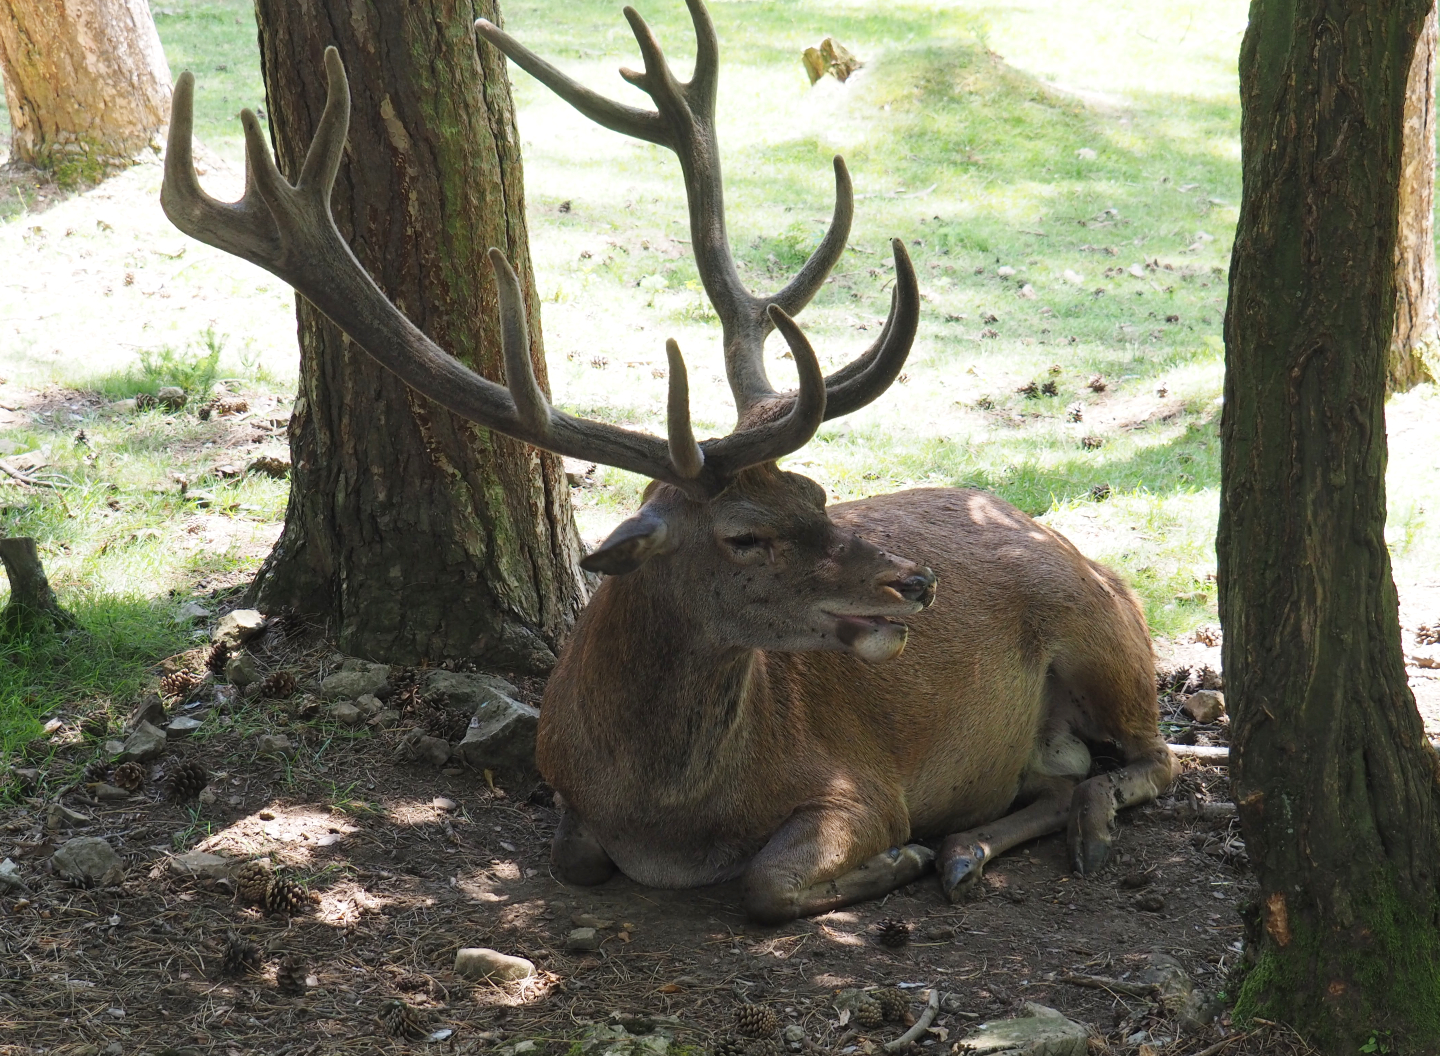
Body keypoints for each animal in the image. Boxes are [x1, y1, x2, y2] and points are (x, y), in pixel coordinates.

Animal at [160, 0, 1179, 923]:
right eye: (745, 535)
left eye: (818, 491)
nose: (917, 583)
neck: (666, 813)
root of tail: (1089, 557)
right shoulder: (565, 793)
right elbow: (578, 862)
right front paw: (921, 855)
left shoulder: (863, 787)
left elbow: (768, 883)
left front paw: (901, 859)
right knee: (1069, 774)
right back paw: (974, 845)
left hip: (1105, 636)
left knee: (1152, 759)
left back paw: (1012, 839)